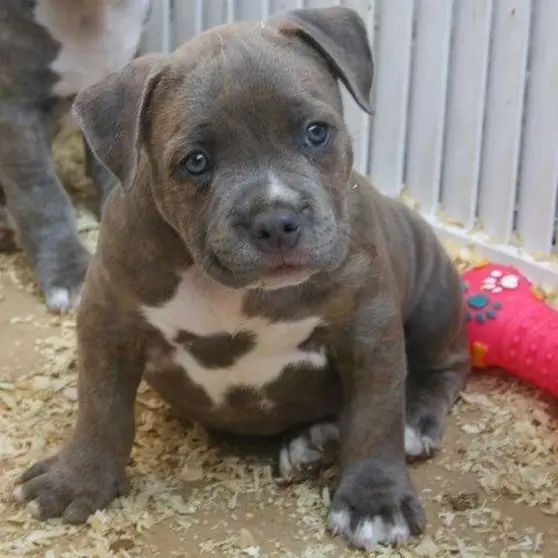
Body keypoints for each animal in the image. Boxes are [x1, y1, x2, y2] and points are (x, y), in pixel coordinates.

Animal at [14, 7, 472, 552]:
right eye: (196, 161)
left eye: (317, 132)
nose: (275, 219)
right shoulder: (108, 319)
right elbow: (101, 408)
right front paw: (78, 479)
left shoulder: (368, 326)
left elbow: (375, 414)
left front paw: (375, 501)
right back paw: (314, 441)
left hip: (433, 298)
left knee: (446, 366)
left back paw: (408, 421)